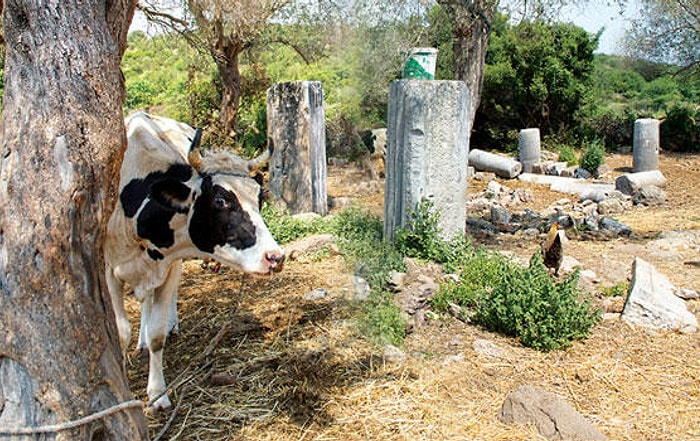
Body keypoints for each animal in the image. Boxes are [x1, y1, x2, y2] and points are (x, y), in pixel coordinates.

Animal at [104, 111, 284, 410]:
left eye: (258, 197)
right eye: (221, 200)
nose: (275, 257)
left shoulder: (169, 264)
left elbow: (157, 335)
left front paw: (158, 394)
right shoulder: (107, 270)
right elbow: (120, 333)